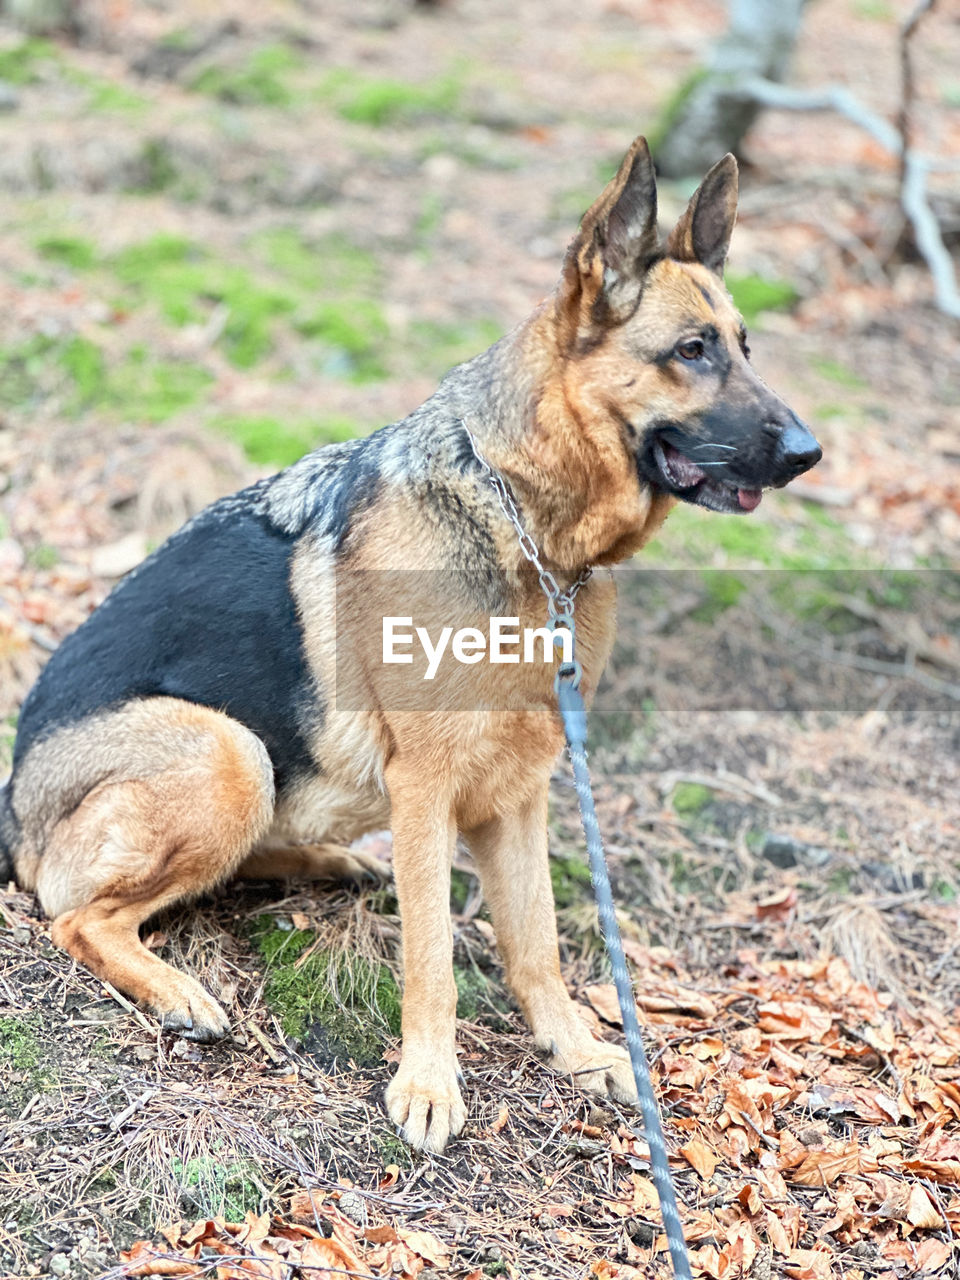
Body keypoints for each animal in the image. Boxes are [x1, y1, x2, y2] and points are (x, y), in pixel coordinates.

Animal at [1, 137, 829, 1152]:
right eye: (691, 351)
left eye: (746, 347)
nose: (808, 452)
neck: (525, 528)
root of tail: (13, 804)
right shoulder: (431, 786)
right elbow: (432, 954)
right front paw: (430, 1086)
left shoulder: (520, 792)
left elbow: (538, 943)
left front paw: (575, 1047)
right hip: (229, 752)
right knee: (78, 917)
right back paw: (176, 989)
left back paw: (329, 860)